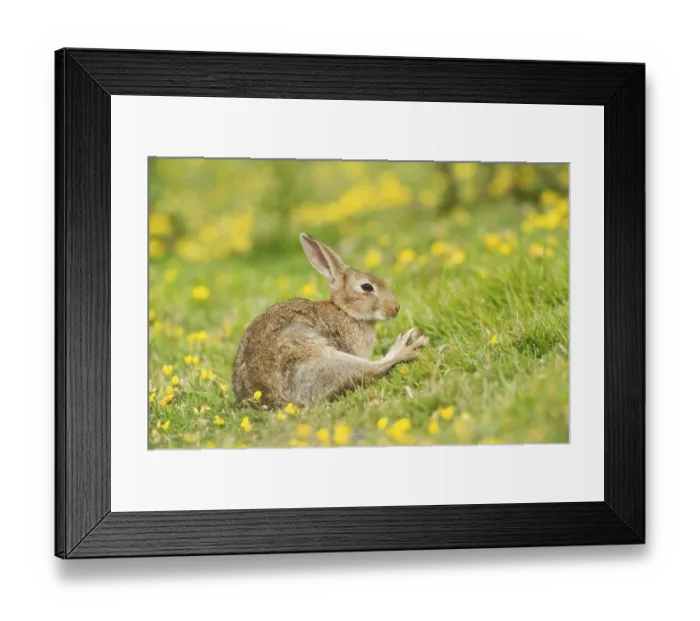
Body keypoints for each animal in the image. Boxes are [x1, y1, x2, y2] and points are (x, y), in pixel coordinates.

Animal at [232, 233, 429, 409]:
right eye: (367, 287)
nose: (396, 308)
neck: (344, 310)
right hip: (321, 360)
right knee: (372, 369)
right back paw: (408, 346)